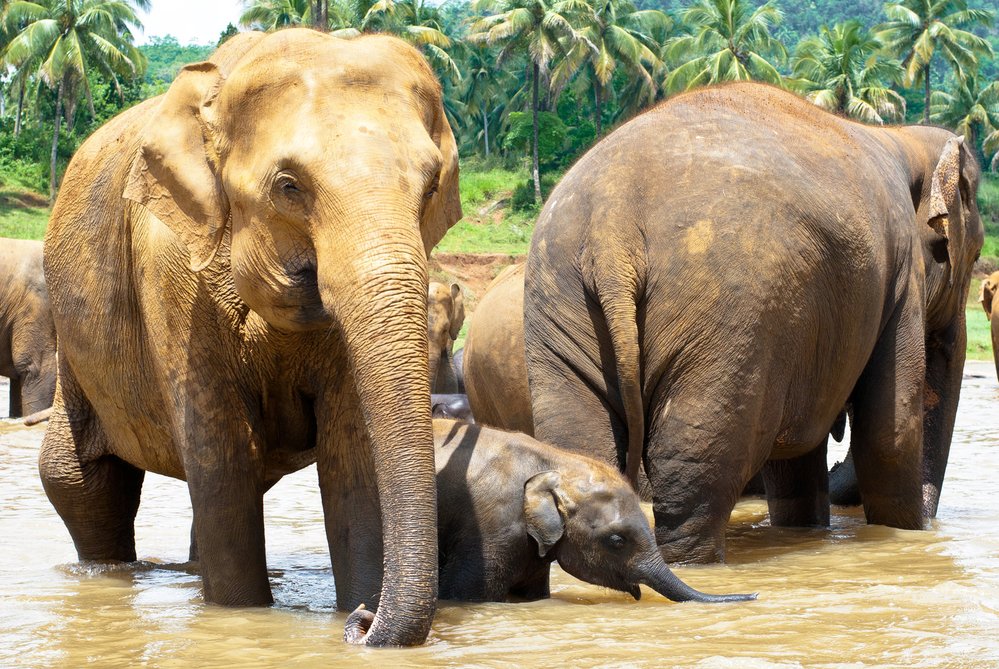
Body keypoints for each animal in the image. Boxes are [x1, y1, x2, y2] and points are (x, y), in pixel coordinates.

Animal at [38, 31, 460, 648]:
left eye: (430, 187)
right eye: (288, 187)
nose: (363, 623)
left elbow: (350, 459)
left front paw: (352, 607)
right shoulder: (171, 276)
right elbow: (222, 458)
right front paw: (241, 619)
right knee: (80, 482)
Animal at [524, 82, 984, 564]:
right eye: (974, 257)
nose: (932, 529)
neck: (902, 136)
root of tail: (612, 229)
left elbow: (796, 451)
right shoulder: (899, 279)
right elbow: (890, 431)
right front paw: (902, 533)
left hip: (560, 302)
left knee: (579, 445)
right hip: (730, 319)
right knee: (695, 468)